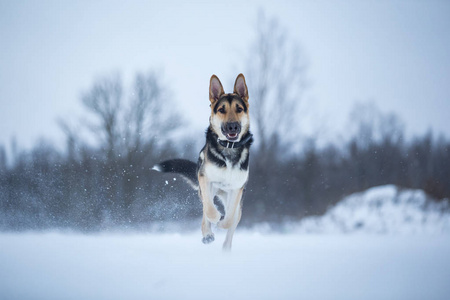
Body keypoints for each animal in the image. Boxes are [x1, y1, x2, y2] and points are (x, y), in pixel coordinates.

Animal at [154, 73, 253, 251]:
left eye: (239, 109)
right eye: (222, 110)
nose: (233, 127)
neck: (229, 148)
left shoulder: (236, 189)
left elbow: (229, 218)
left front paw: (222, 223)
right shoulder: (205, 179)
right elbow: (210, 211)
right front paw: (214, 222)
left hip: (233, 200)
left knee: (231, 223)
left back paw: (225, 249)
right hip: (208, 189)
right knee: (206, 211)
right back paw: (207, 234)